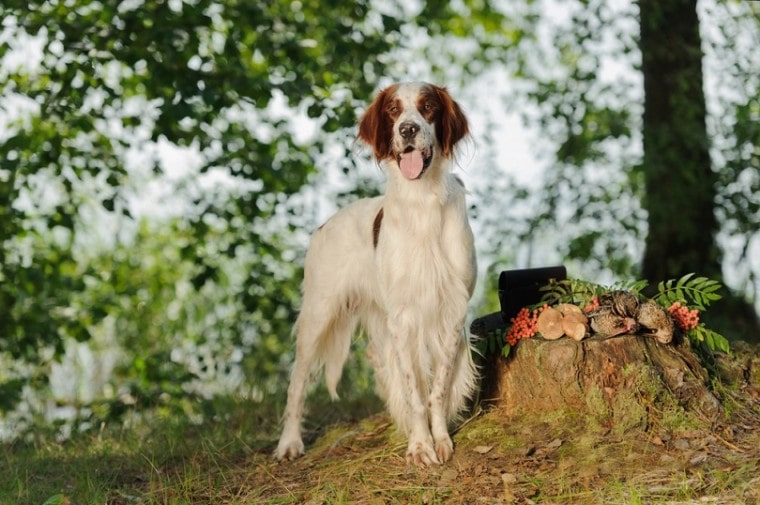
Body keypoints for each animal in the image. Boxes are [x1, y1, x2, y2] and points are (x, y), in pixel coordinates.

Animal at [274, 81, 476, 464]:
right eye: (393, 110)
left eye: (428, 106)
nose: (408, 130)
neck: (421, 202)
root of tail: (323, 225)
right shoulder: (403, 316)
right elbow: (415, 391)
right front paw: (420, 445)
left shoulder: (452, 310)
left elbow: (438, 388)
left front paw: (439, 438)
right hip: (318, 315)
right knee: (296, 382)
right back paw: (288, 442)